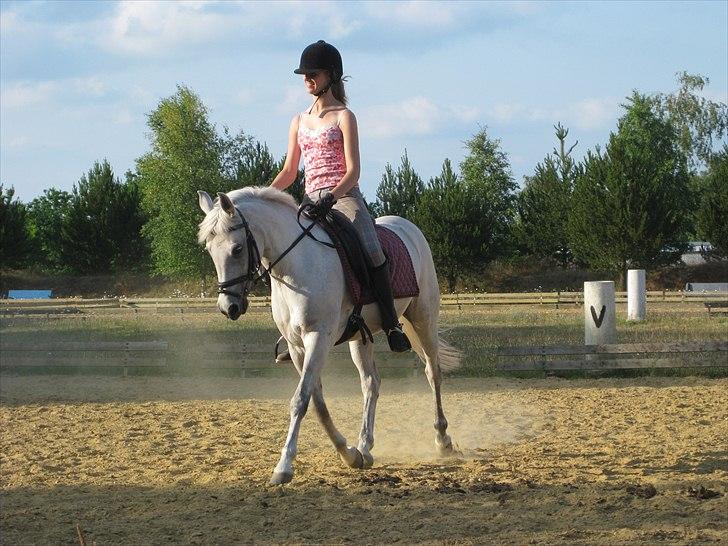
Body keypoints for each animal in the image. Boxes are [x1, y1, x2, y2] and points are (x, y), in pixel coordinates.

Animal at [198, 185, 460, 482]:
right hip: (360, 338)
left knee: (432, 372)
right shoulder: (298, 347)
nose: (228, 307)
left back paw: (442, 439)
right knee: (371, 383)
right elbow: (317, 404)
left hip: (423, 318)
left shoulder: (318, 338)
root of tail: (407, 226)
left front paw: (283, 466)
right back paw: (365, 446)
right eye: (209, 249)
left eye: (237, 248)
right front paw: (349, 454)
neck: (296, 266)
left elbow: (300, 400)